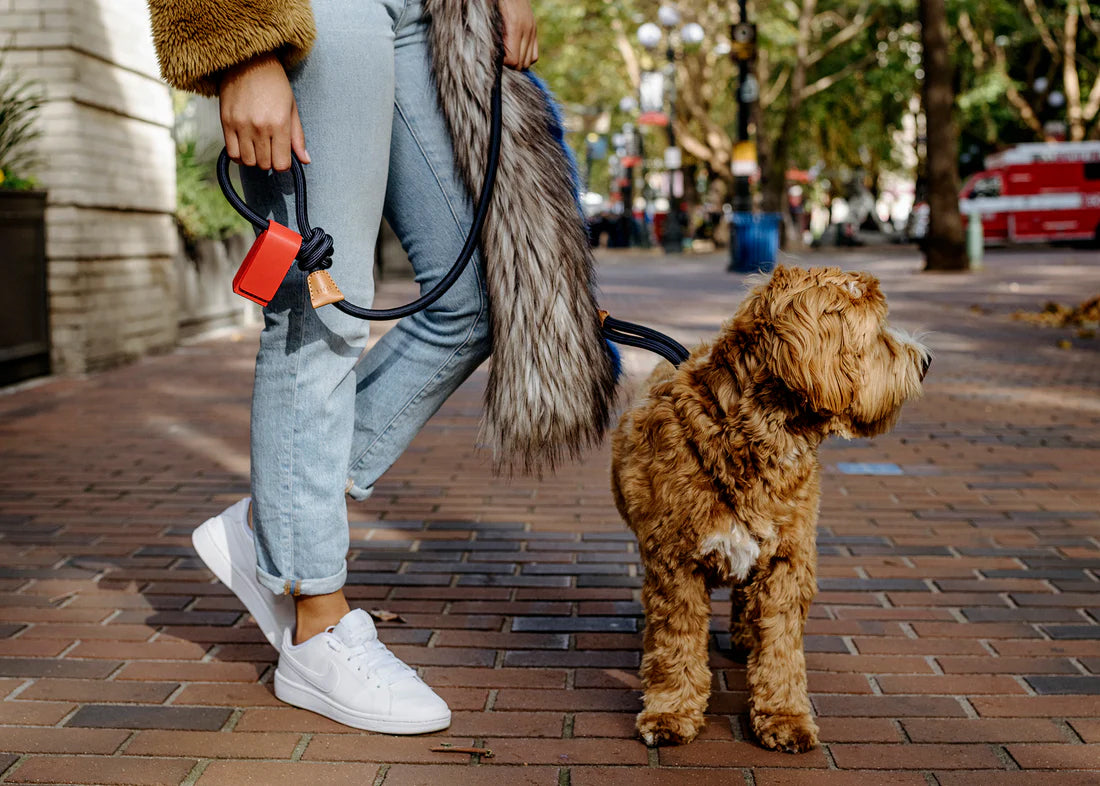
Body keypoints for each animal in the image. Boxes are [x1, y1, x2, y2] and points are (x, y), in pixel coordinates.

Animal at [611, 267, 928, 751]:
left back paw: (745, 637)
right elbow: (675, 643)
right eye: (877, 332)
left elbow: (781, 648)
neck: (756, 437)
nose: (927, 361)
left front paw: (784, 717)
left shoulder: (787, 559)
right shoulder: (675, 563)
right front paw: (669, 712)